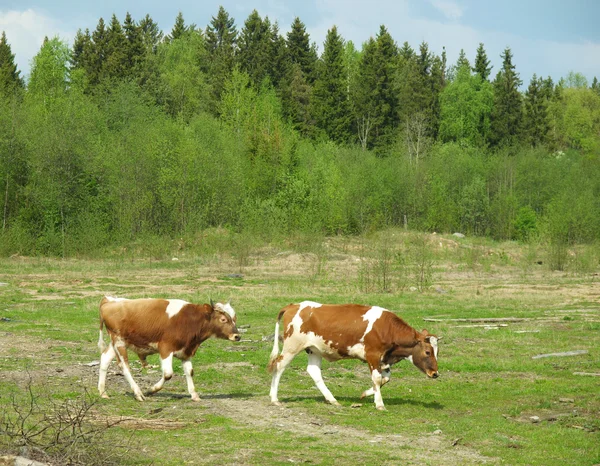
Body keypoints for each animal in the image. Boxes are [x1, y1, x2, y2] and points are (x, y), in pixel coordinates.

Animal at [97, 298, 240, 400]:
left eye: (234, 319)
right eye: (223, 319)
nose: (237, 336)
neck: (190, 320)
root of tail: (109, 301)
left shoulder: (186, 351)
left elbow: (189, 371)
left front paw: (194, 395)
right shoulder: (166, 348)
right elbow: (168, 374)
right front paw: (151, 389)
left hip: (116, 343)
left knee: (105, 358)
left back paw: (103, 392)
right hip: (119, 342)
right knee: (124, 366)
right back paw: (138, 393)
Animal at [268, 300, 440, 410]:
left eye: (437, 352)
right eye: (427, 352)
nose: (435, 373)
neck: (388, 328)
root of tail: (293, 306)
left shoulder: (384, 359)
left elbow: (385, 379)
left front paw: (366, 394)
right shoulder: (373, 355)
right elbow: (377, 379)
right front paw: (379, 404)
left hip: (314, 349)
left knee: (314, 371)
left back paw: (332, 399)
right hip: (292, 346)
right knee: (279, 365)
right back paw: (274, 399)